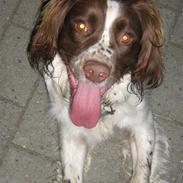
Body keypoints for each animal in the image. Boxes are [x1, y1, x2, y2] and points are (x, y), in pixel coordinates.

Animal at [27, 0, 169, 182]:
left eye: (126, 37)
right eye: (81, 26)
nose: (95, 72)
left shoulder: (143, 124)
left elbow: (142, 171)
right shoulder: (71, 132)